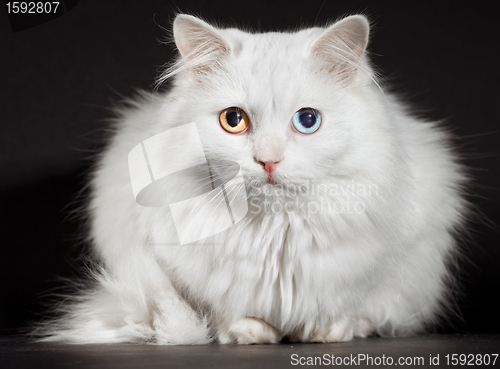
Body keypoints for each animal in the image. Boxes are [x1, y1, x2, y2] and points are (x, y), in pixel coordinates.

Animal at [37, 13, 466, 342]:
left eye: (307, 120)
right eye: (233, 119)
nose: (268, 160)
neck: (278, 233)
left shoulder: (396, 261)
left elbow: (355, 307)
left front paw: (327, 331)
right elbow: (224, 312)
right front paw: (252, 332)